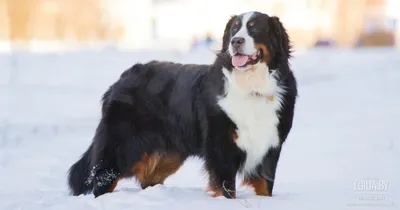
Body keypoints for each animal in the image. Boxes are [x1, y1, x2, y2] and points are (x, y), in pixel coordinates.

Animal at [68, 11, 296, 199]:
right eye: (234, 29)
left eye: (255, 28)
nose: (236, 41)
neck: (252, 86)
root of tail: (121, 78)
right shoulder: (220, 146)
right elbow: (226, 188)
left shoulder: (270, 146)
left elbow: (265, 186)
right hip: (123, 145)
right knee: (104, 176)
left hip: (168, 153)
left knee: (148, 179)